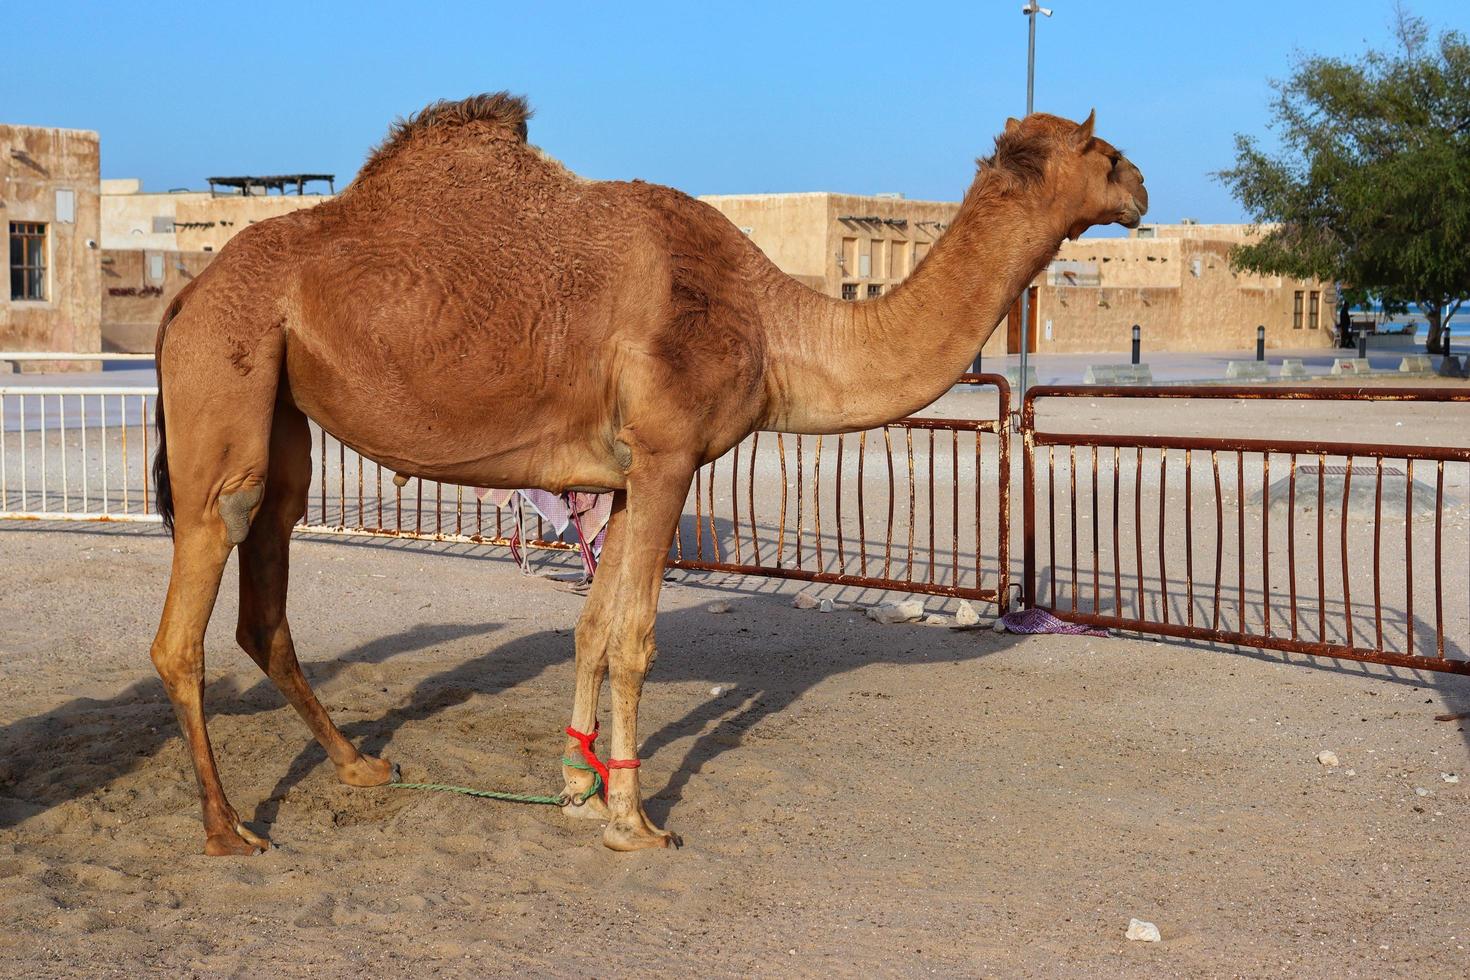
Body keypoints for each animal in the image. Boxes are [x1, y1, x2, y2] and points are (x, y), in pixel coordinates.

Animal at [149, 94, 1146, 858]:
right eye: (1100, 149)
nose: (1141, 187)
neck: (773, 325)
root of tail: (185, 293)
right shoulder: (671, 455)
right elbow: (634, 640)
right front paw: (634, 820)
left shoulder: (628, 473)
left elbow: (591, 631)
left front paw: (576, 788)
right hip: (226, 369)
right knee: (195, 593)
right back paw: (227, 828)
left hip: (280, 403)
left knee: (268, 577)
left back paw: (362, 765)